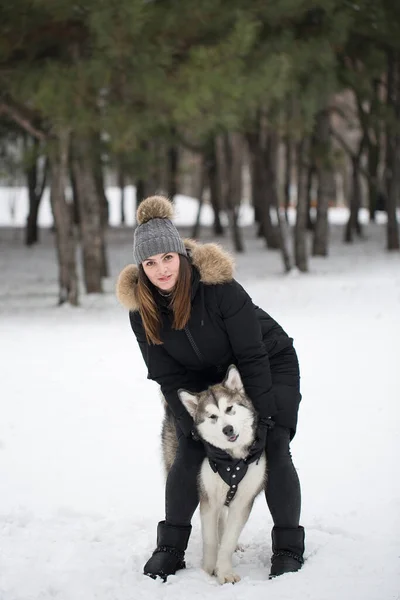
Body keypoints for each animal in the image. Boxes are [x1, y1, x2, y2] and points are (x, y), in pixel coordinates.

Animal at [161, 364, 268, 584]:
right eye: (212, 417)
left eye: (229, 409)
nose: (228, 429)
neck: (231, 460)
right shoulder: (208, 498)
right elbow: (210, 539)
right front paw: (208, 569)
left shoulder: (242, 502)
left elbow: (228, 540)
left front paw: (225, 571)